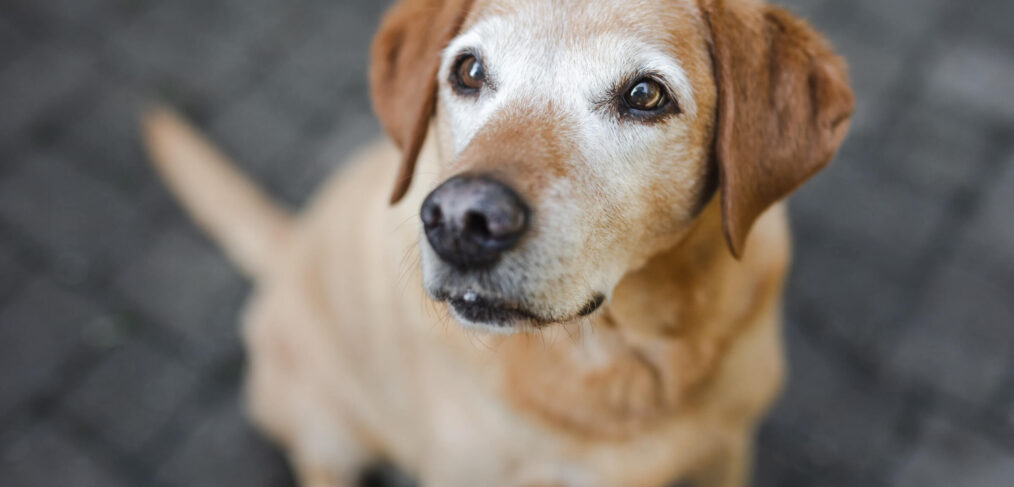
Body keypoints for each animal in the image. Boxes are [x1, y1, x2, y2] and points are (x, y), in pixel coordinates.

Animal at [142, 0, 853, 485]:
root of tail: (288, 248)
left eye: (645, 94)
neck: (624, 355)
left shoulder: (726, 454)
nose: (461, 220)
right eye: (468, 70)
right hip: (326, 422)